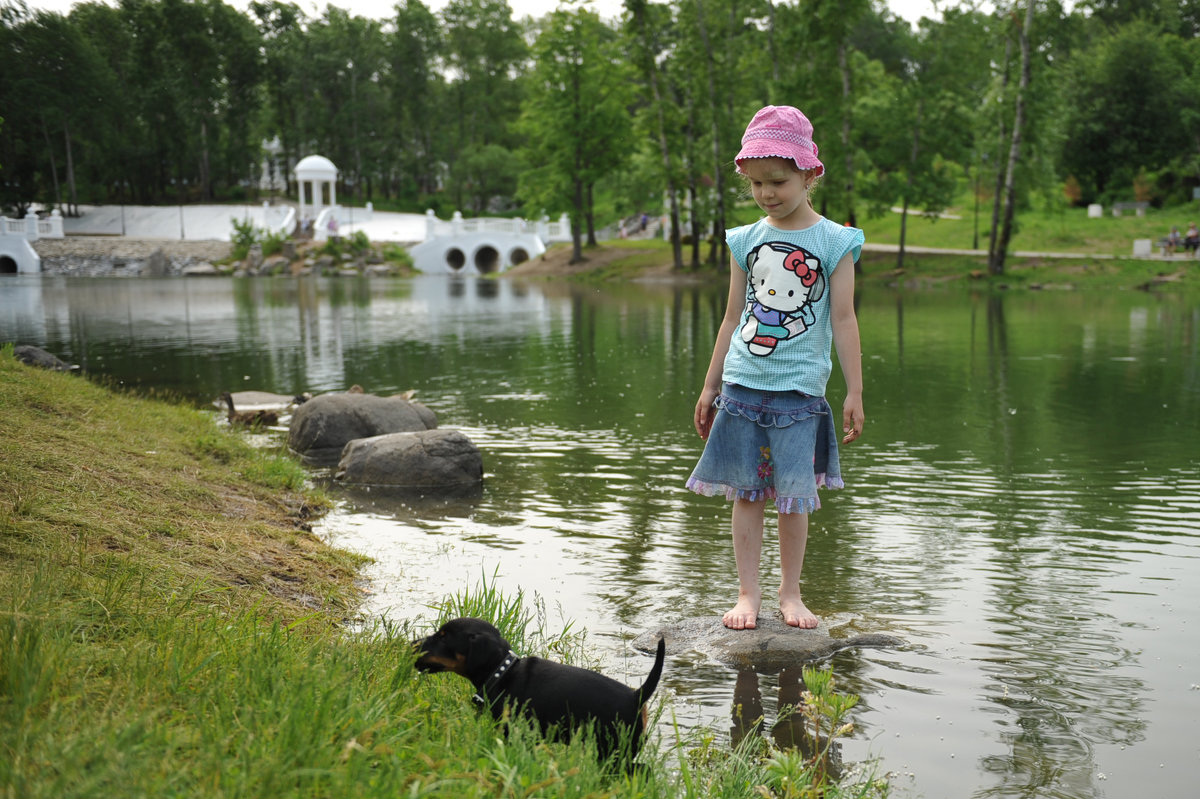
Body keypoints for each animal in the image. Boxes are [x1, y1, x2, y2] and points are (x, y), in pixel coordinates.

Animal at [415, 611, 667, 763]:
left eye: (444, 637)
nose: (412, 645)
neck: (503, 672)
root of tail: (637, 696)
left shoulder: (514, 733)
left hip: (615, 751)